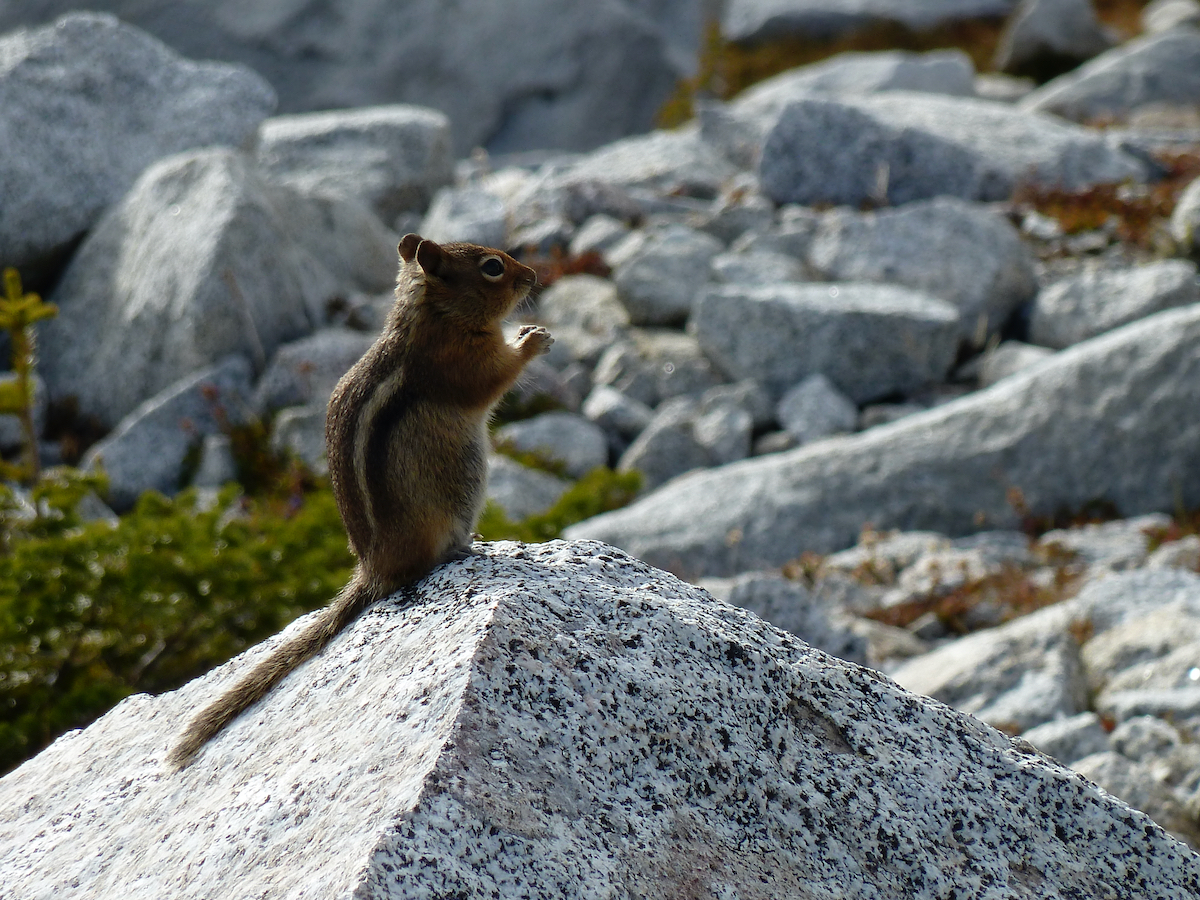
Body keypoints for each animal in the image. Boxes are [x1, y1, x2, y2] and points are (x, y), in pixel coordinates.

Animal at [170, 232, 552, 768]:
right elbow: (493, 378)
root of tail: (373, 570)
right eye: (493, 267)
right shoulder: (461, 362)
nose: (534, 276)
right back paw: (459, 549)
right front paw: (533, 339)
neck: (434, 317)